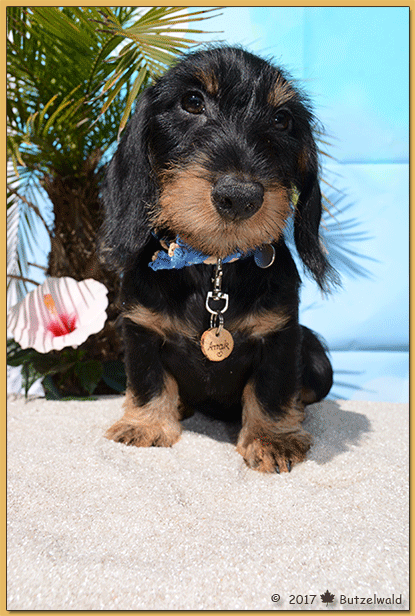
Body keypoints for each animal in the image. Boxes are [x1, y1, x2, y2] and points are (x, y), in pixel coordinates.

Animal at [101, 45, 337, 473]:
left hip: (318, 361)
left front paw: (272, 438)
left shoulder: (280, 335)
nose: (240, 196)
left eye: (282, 119)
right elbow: (147, 380)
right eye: (192, 101)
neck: (214, 265)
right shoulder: (141, 329)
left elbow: (271, 390)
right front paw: (145, 425)